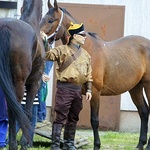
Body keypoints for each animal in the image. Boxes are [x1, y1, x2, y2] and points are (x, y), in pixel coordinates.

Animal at [0, 0, 44, 150]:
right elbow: (28, 112)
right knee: (14, 110)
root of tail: (5, 27)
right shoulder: (34, 83)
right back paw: (13, 145)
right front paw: (25, 142)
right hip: (18, 84)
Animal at [40, 0, 150, 150]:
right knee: (144, 111)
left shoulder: (95, 92)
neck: (85, 50)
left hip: (148, 86)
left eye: (51, 20)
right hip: (135, 87)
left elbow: (95, 120)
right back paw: (140, 145)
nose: (39, 37)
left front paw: (97, 145)